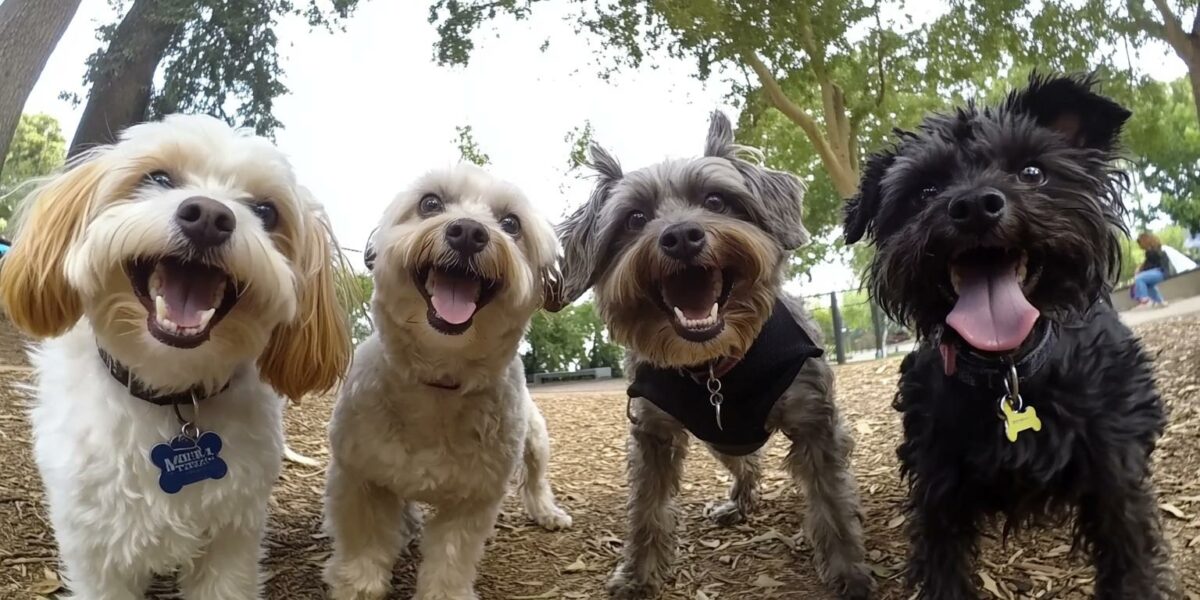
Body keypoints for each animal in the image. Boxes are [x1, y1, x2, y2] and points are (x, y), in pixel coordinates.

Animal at [0, 114, 350, 597]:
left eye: (266, 211)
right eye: (159, 178)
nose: (210, 216)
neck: (171, 392)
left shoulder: (232, 535)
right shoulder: (94, 543)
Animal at [324, 164, 571, 600]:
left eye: (511, 223)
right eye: (430, 203)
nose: (469, 231)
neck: (437, 381)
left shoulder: (473, 499)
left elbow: (451, 559)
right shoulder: (359, 476)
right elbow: (364, 542)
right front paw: (358, 585)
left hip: (536, 436)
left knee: (536, 476)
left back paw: (546, 511)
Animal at [552, 112, 873, 600]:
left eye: (717, 200)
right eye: (634, 218)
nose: (681, 236)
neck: (714, 365)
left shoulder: (814, 422)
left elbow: (832, 502)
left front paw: (849, 571)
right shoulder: (653, 435)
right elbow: (646, 512)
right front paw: (637, 574)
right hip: (720, 439)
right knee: (747, 464)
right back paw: (737, 503)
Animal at [844, 75, 1180, 600]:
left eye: (1032, 171)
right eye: (925, 190)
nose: (974, 205)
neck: (1009, 369)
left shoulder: (1114, 476)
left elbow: (1131, 561)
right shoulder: (938, 485)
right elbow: (943, 566)